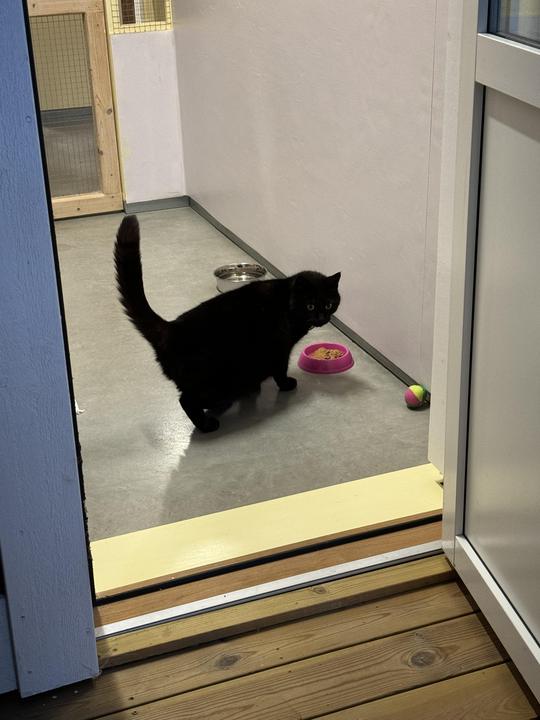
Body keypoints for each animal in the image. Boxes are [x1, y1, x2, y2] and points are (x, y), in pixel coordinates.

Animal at [114, 215, 341, 432]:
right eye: (310, 306)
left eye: (329, 304)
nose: (322, 317)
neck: (287, 302)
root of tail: (170, 328)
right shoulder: (280, 349)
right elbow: (280, 370)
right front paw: (285, 384)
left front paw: (256, 389)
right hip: (217, 381)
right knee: (187, 400)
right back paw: (207, 425)